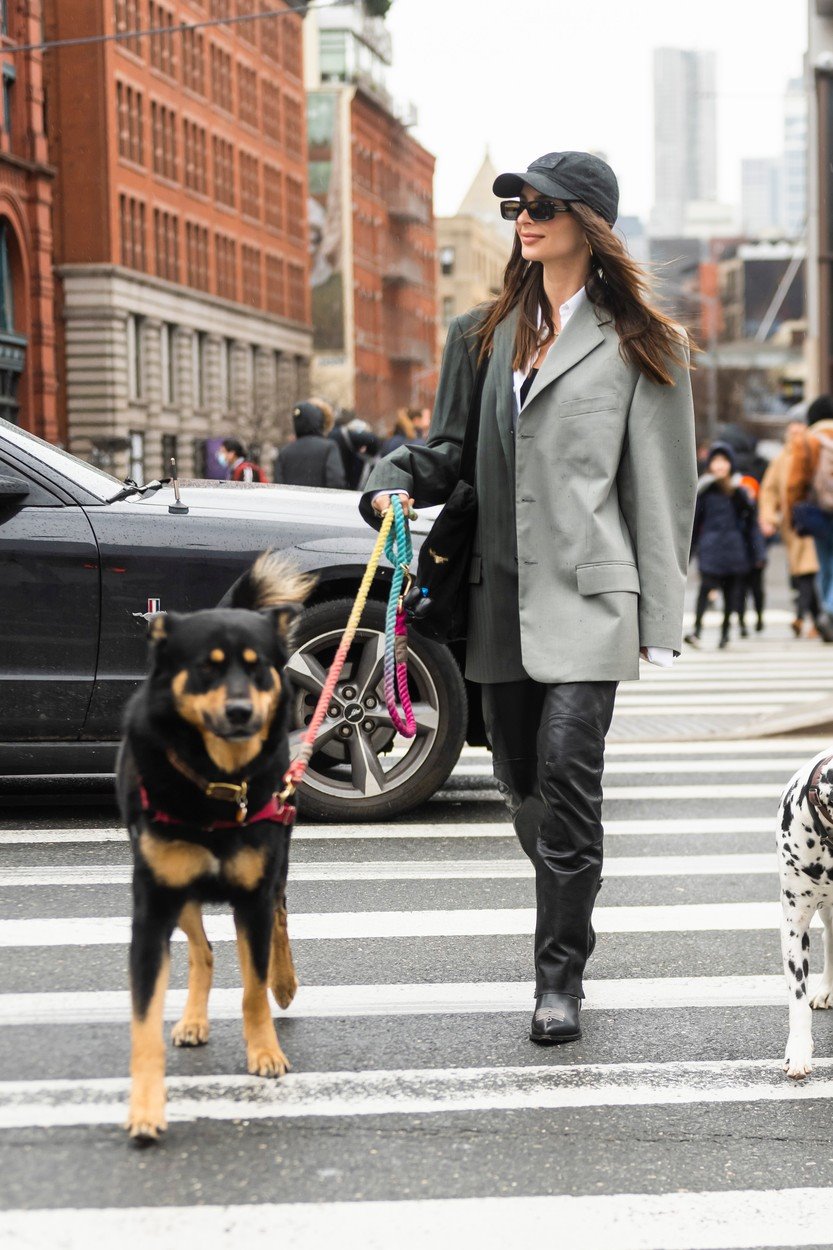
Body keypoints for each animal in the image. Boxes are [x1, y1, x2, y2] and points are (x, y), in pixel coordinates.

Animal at [116, 555, 311, 1145]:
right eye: (207, 667)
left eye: (258, 668)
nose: (242, 712)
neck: (216, 783)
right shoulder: (153, 906)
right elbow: (144, 1020)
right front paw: (146, 1109)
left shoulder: (251, 895)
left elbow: (252, 985)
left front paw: (265, 1053)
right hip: (180, 891)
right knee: (202, 952)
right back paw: (193, 1019)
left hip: (275, 865)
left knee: (280, 920)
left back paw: (285, 983)